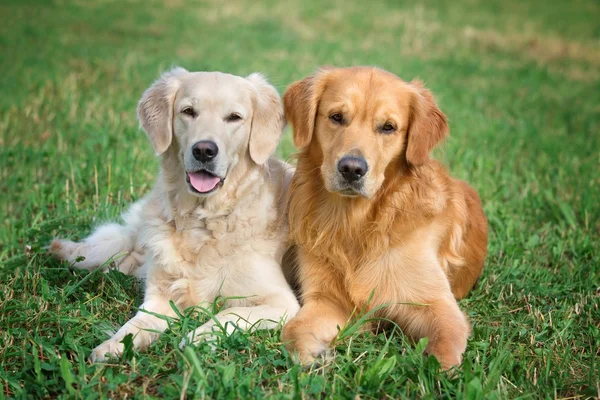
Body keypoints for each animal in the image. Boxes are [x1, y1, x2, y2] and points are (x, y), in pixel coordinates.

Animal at [50, 68, 298, 362]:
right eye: (188, 111)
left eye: (234, 117)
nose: (204, 150)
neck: (203, 221)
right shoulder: (160, 296)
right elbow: (135, 324)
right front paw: (111, 345)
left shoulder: (282, 302)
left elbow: (229, 313)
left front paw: (198, 337)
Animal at [282, 65, 488, 368]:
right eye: (336, 117)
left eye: (388, 127)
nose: (351, 169)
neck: (355, 223)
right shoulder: (327, 300)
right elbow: (292, 329)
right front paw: (313, 354)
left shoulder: (436, 304)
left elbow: (443, 351)